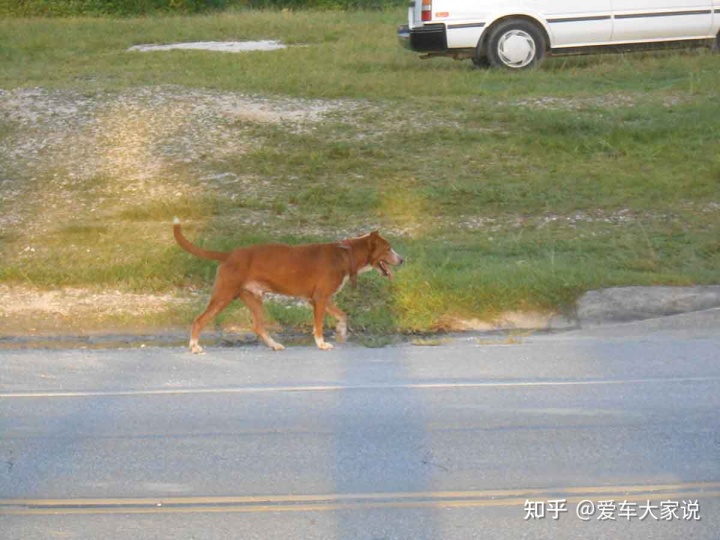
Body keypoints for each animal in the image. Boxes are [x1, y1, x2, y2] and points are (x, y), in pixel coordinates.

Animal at [172, 219, 402, 354]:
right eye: (388, 249)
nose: (402, 260)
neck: (346, 254)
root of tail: (229, 254)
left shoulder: (317, 298)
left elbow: (342, 315)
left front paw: (341, 332)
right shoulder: (320, 298)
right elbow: (319, 326)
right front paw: (321, 343)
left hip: (253, 298)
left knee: (259, 326)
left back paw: (274, 344)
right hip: (223, 296)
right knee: (199, 320)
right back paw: (194, 346)